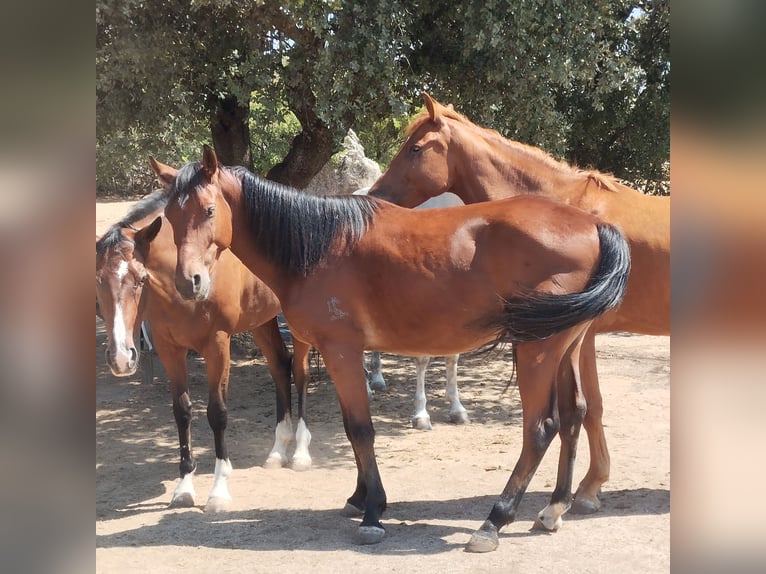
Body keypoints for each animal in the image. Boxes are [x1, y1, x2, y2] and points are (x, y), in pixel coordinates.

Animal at [97, 190, 316, 512]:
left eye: (140, 279)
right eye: (98, 281)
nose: (121, 358)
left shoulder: (217, 345)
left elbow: (217, 413)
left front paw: (219, 491)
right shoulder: (169, 349)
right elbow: (182, 412)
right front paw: (184, 487)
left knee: (300, 372)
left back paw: (300, 452)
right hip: (261, 320)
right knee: (280, 365)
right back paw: (277, 451)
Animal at [354, 187, 468, 430]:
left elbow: (452, 357)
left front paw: (457, 409)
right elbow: (422, 359)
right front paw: (421, 415)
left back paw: (376, 380)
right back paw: (366, 389)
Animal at [368, 92, 668, 516]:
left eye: (415, 148)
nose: (375, 197)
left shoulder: (581, 336)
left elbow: (587, 407)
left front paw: (586, 489)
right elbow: (584, 408)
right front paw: (583, 490)